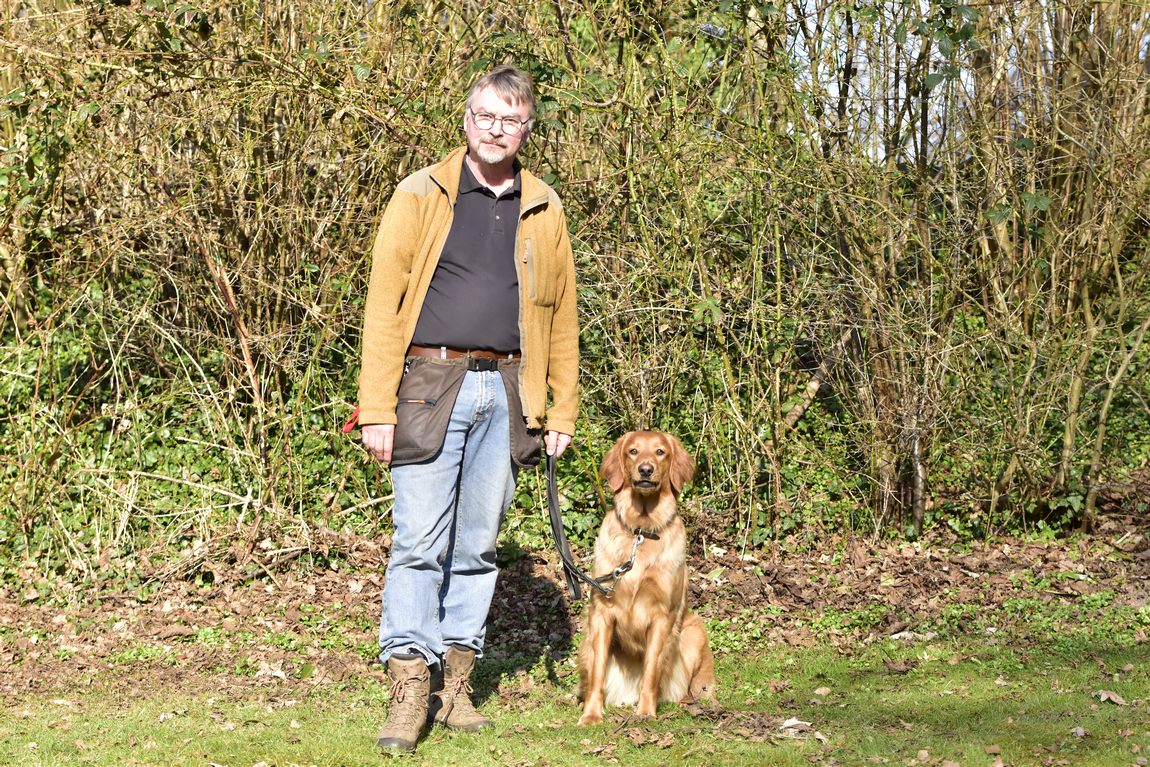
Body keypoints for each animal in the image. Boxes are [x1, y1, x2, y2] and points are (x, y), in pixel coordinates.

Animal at [577, 431, 716, 725]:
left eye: (660, 451)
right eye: (633, 451)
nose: (645, 469)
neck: (642, 530)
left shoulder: (662, 616)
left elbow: (652, 670)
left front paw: (645, 712)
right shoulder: (602, 614)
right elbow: (597, 673)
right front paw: (591, 715)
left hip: (694, 630)